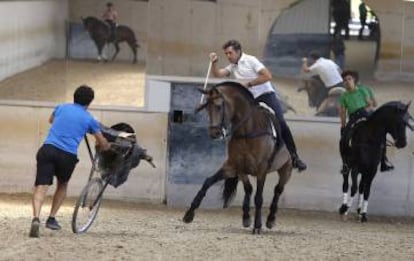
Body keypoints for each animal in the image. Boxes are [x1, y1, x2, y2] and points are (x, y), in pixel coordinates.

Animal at [183, 81, 292, 234]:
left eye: (218, 106)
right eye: (206, 108)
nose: (214, 133)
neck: (248, 132)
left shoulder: (261, 170)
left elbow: (259, 197)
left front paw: (257, 226)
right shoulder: (237, 167)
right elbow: (209, 182)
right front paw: (189, 214)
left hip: (286, 169)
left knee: (278, 189)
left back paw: (270, 220)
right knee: (247, 189)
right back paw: (247, 217)